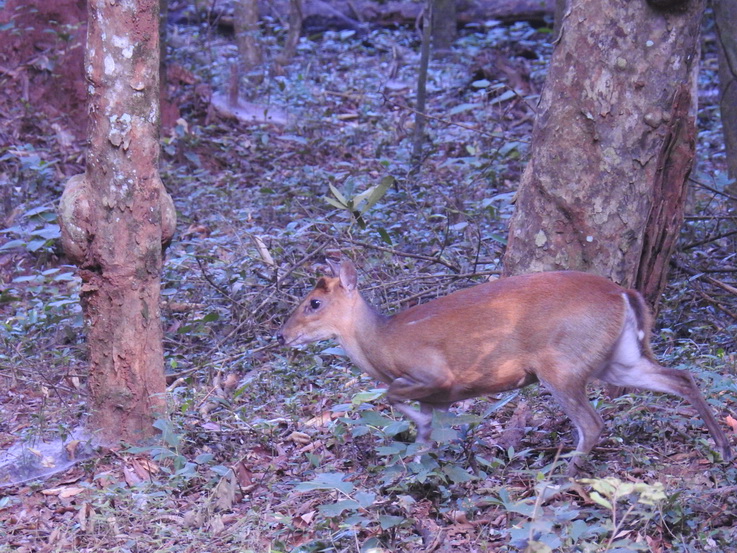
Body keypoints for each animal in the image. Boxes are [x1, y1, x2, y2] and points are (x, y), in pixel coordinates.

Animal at [274, 258, 732, 474]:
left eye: (313, 303)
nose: (282, 335)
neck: (381, 344)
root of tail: (625, 293)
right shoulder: (437, 395)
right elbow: (423, 434)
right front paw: (415, 465)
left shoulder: (435, 374)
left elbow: (390, 395)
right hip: (617, 359)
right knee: (681, 376)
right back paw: (724, 448)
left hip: (561, 361)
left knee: (593, 422)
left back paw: (560, 477)